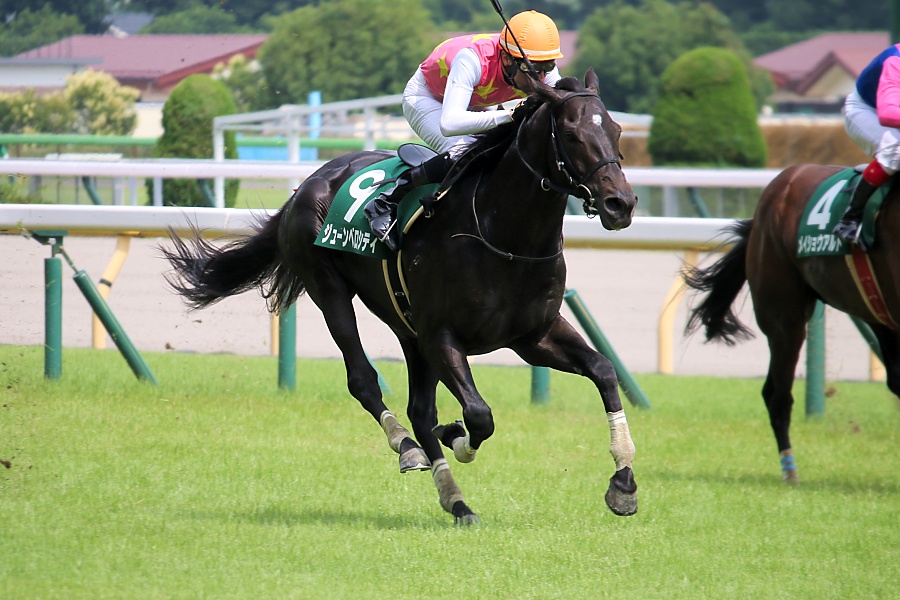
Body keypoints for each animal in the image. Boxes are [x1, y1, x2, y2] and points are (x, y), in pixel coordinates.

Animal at [161, 69, 640, 524]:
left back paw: (456, 502)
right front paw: (457, 436)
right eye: (573, 134)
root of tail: (307, 183)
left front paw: (624, 483)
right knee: (366, 382)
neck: (501, 233)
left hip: (406, 327)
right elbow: (479, 414)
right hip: (331, 291)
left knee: (420, 410)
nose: (621, 203)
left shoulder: (533, 335)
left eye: (617, 130)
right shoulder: (441, 335)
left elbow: (603, 370)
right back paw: (409, 449)